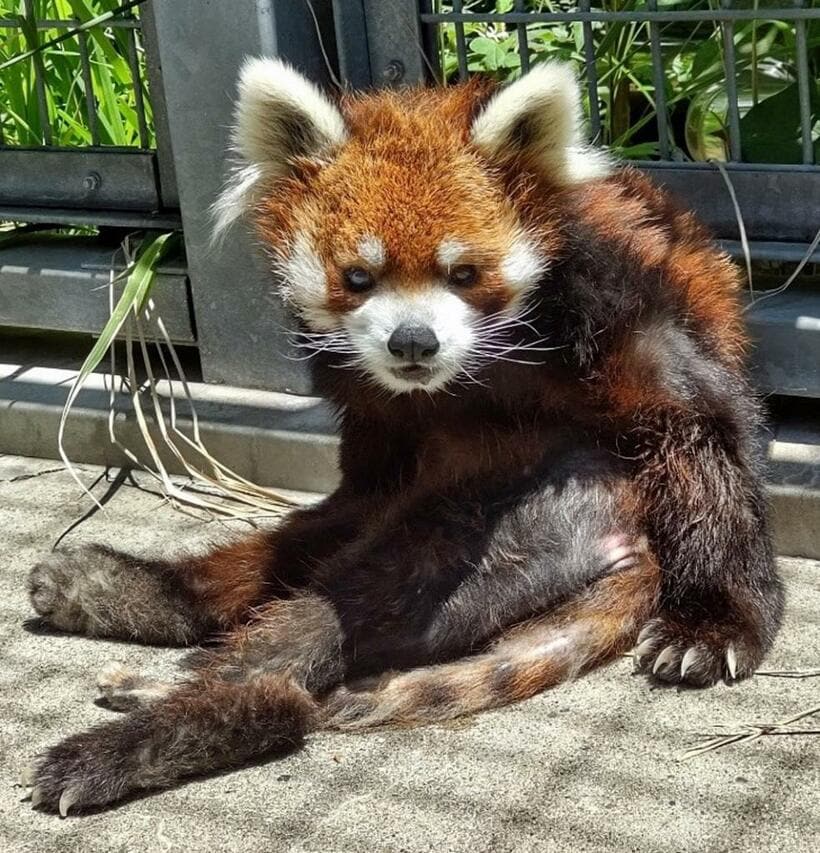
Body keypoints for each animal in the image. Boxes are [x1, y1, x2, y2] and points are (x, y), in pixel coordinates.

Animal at [24, 56, 780, 816]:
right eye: (359, 277)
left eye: (463, 273)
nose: (412, 340)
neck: (475, 373)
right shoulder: (376, 417)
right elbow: (363, 481)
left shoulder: (626, 312)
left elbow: (705, 437)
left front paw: (715, 624)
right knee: (295, 552)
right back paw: (120, 591)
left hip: (537, 507)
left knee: (348, 614)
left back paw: (149, 729)